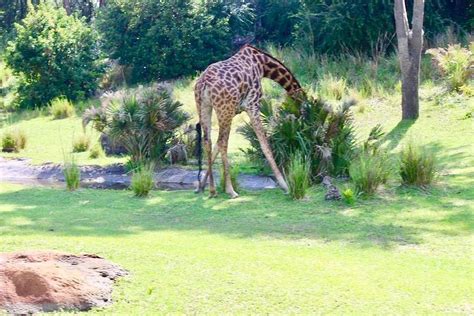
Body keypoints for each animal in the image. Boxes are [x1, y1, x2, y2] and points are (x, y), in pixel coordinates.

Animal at [195, 44, 304, 198]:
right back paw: (230, 190)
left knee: (208, 141)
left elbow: (215, 146)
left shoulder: (237, 110)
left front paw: (201, 186)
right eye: (302, 108)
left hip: (204, 106)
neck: (263, 64)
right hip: (225, 109)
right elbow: (265, 145)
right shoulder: (252, 105)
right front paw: (285, 185)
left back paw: (212, 190)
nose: (301, 119)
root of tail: (204, 83)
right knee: (223, 143)